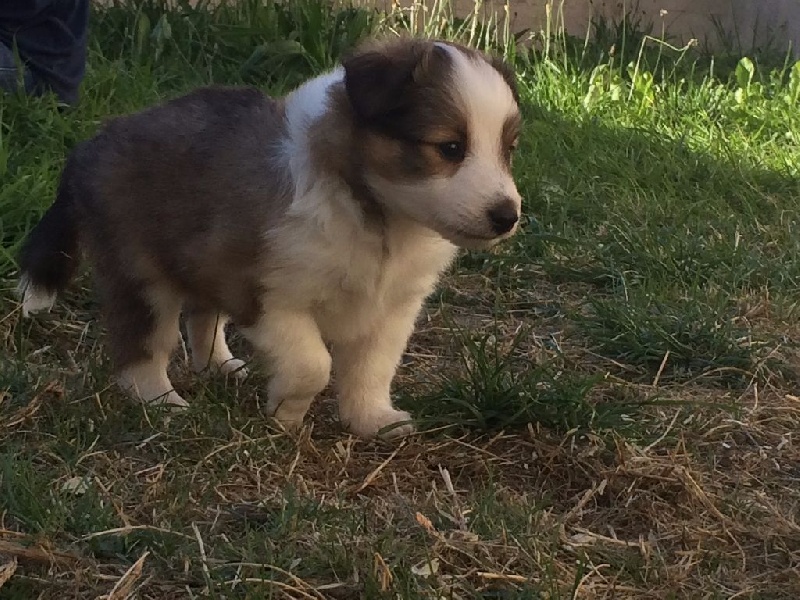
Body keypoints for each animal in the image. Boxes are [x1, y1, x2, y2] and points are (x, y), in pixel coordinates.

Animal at [17, 37, 523, 439]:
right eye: (450, 148)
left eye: (509, 149)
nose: (508, 216)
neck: (377, 217)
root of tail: (88, 147)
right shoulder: (264, 291)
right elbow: (312, 364)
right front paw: (286, 415)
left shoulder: (394, 308)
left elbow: (372, 368)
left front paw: (372, 420)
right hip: (140, 274)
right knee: (140, 349)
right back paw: (163, 404)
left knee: (202, 316)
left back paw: (218, 366)